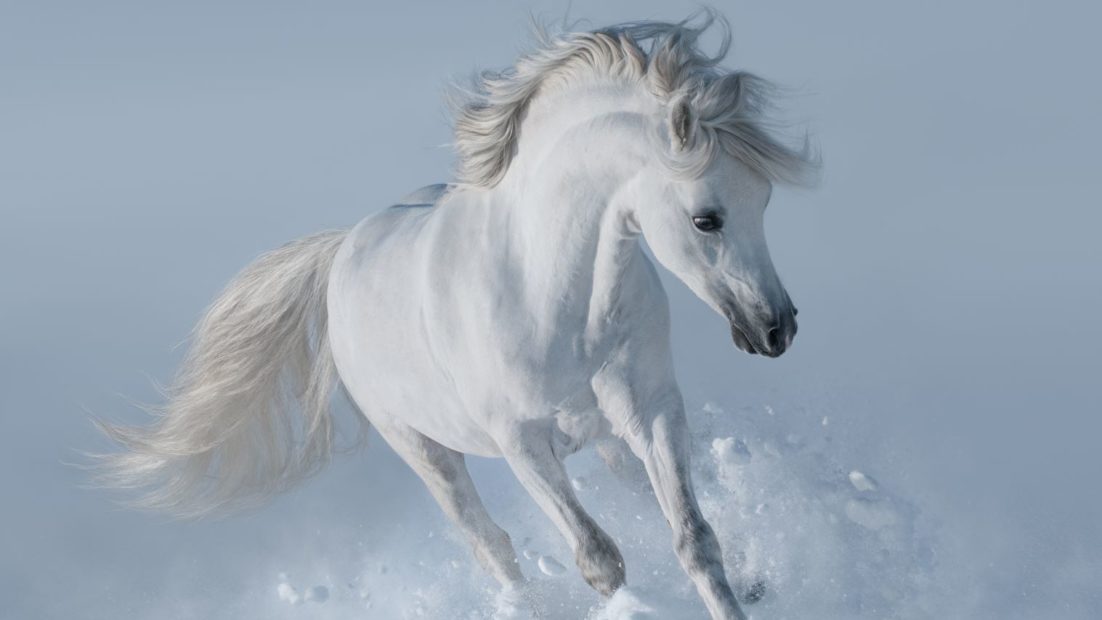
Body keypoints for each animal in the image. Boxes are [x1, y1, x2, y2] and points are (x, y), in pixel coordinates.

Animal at [95, 13, 817, 620]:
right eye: (707, 218)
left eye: (765, 199)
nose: (776, 329)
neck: (552, 301)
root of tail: (345, 247)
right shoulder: (522, 444)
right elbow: (600, 560)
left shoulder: (653, 412)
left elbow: (694, 539)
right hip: (425, 450)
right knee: (492, 546)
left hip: (606, 437)